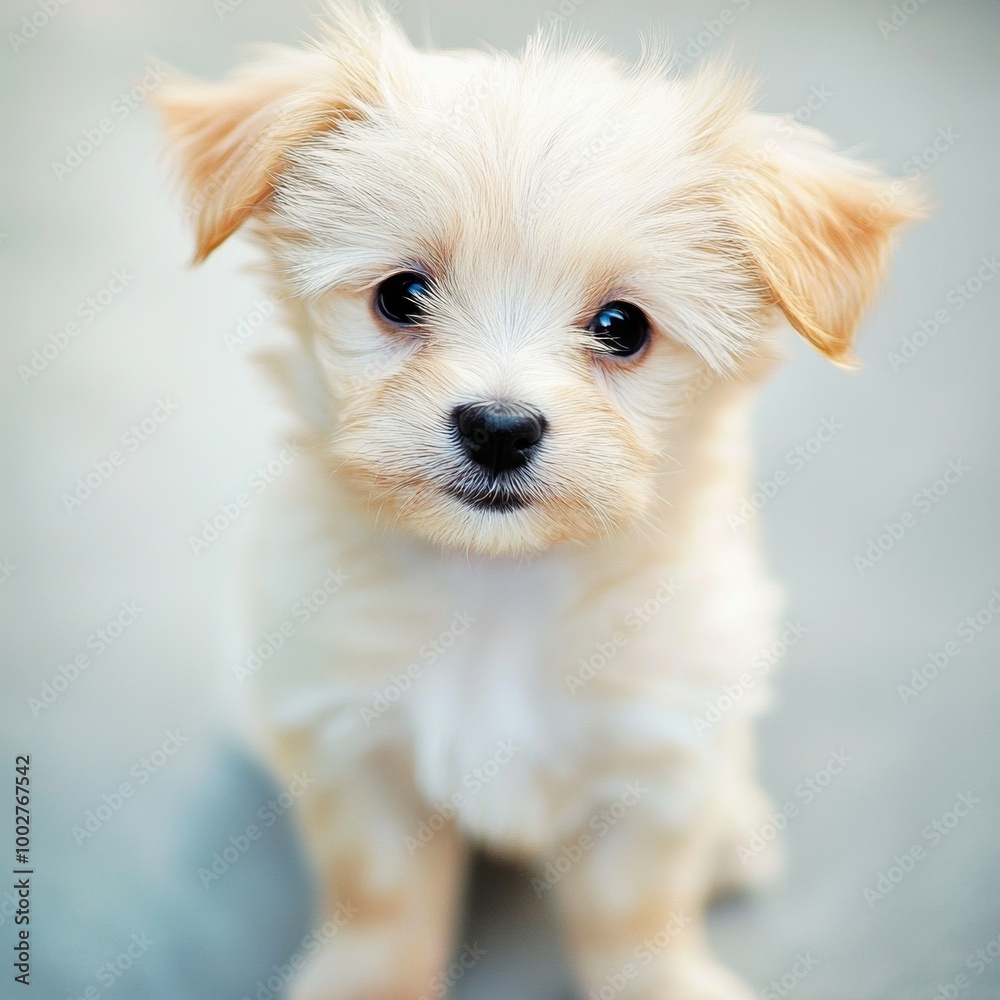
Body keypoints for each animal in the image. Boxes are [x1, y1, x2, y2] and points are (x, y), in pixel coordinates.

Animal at [157, 4, 920, 997]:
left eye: (622, 327)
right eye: (401, 295)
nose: (498, 427)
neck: (500, 584)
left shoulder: (656, 761)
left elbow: (636, 918)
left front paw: (663, 981)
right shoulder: (351, 745)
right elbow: (380, 902)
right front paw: (367, 982)